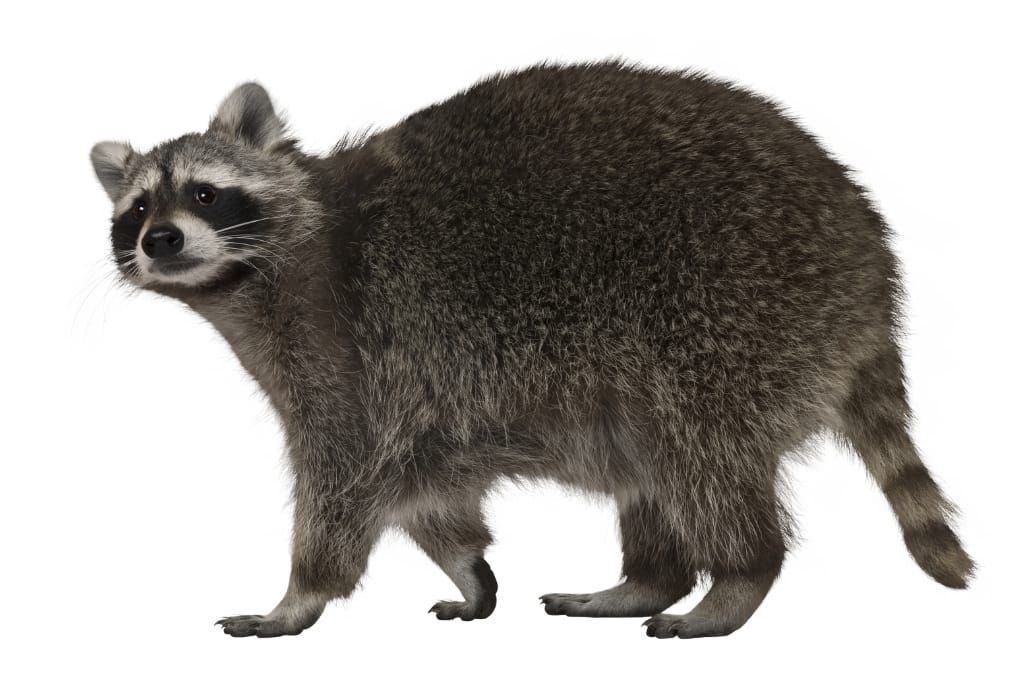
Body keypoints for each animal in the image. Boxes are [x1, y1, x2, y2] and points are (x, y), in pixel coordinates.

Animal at [90, 62, 973, 639]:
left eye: (204, 192)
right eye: (135, 211)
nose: (160, 240)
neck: (252, 278)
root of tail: (869, 263)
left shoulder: (344, 345)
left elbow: (347, 477)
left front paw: (299, 596)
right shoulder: (415, 393)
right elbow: (428, 487)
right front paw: (467, 569)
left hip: (733, 312)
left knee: (702, 450)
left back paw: (737, 577)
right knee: (651, 462)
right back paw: (647, 579)